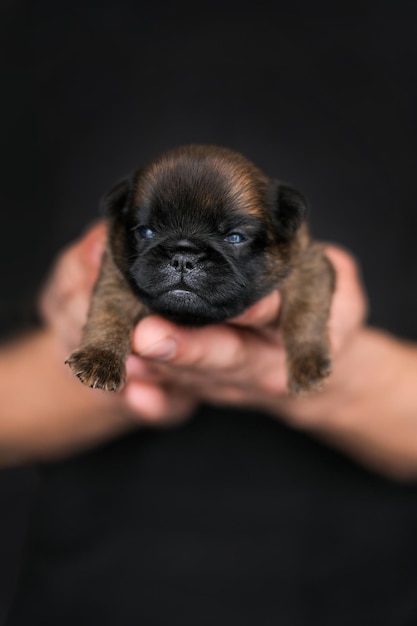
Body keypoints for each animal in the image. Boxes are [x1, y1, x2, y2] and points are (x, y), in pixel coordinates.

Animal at [66, 144, 334, 392]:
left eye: (234, 237)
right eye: (145, 231)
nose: (183, 258)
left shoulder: (307, 266)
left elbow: (304, 314)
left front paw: (307, 362)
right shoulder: (115, 274)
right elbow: (109, 313)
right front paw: (100, 357)